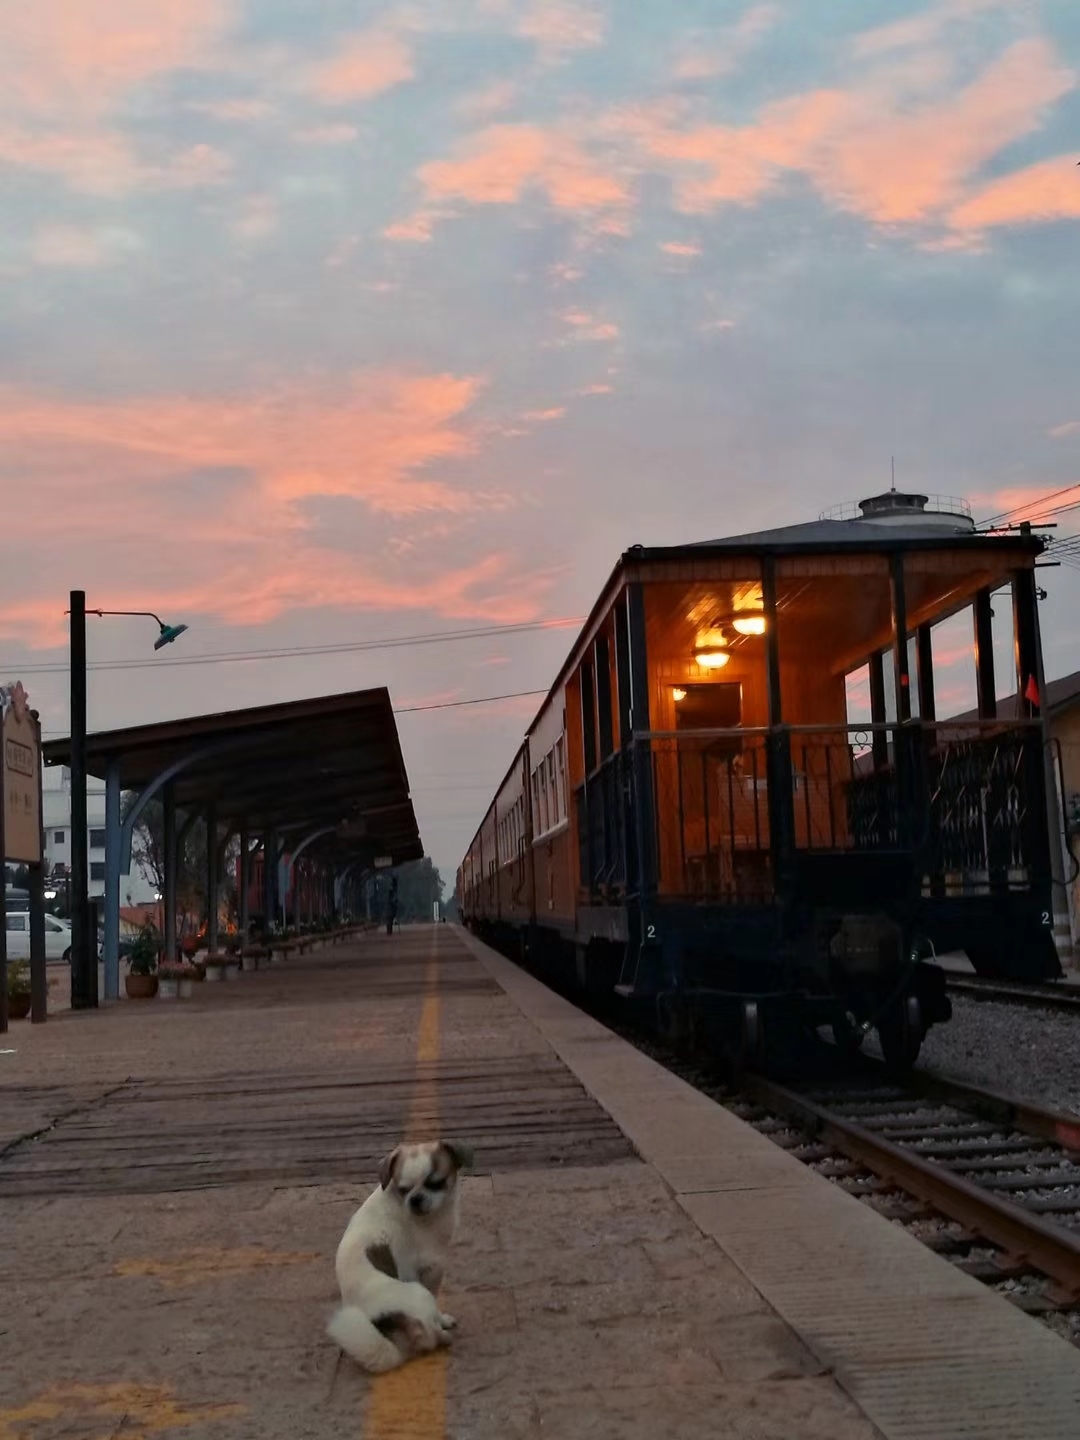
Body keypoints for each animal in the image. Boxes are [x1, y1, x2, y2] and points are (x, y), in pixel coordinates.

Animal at [329, 1134, 472, 1370]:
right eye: (403, 1189)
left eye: (435, 1184)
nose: (415, 1199)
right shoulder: (416, 1270)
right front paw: (442, 1321)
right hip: (417, 1293)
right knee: (430, 1334)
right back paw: (443, 1337)